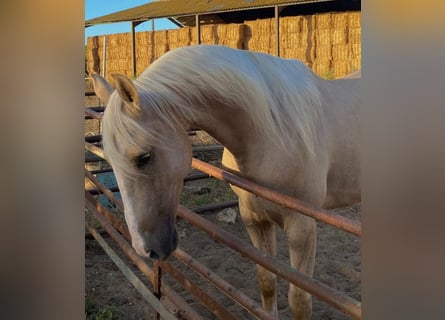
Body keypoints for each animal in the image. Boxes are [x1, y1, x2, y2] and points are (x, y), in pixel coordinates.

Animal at [91, 44, 360, 318]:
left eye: (143, 157)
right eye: (110, 160)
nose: (145, 248)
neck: (274, 130)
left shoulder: (302, 227)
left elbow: (300, 300)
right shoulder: (254, 218)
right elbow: (267, 281)